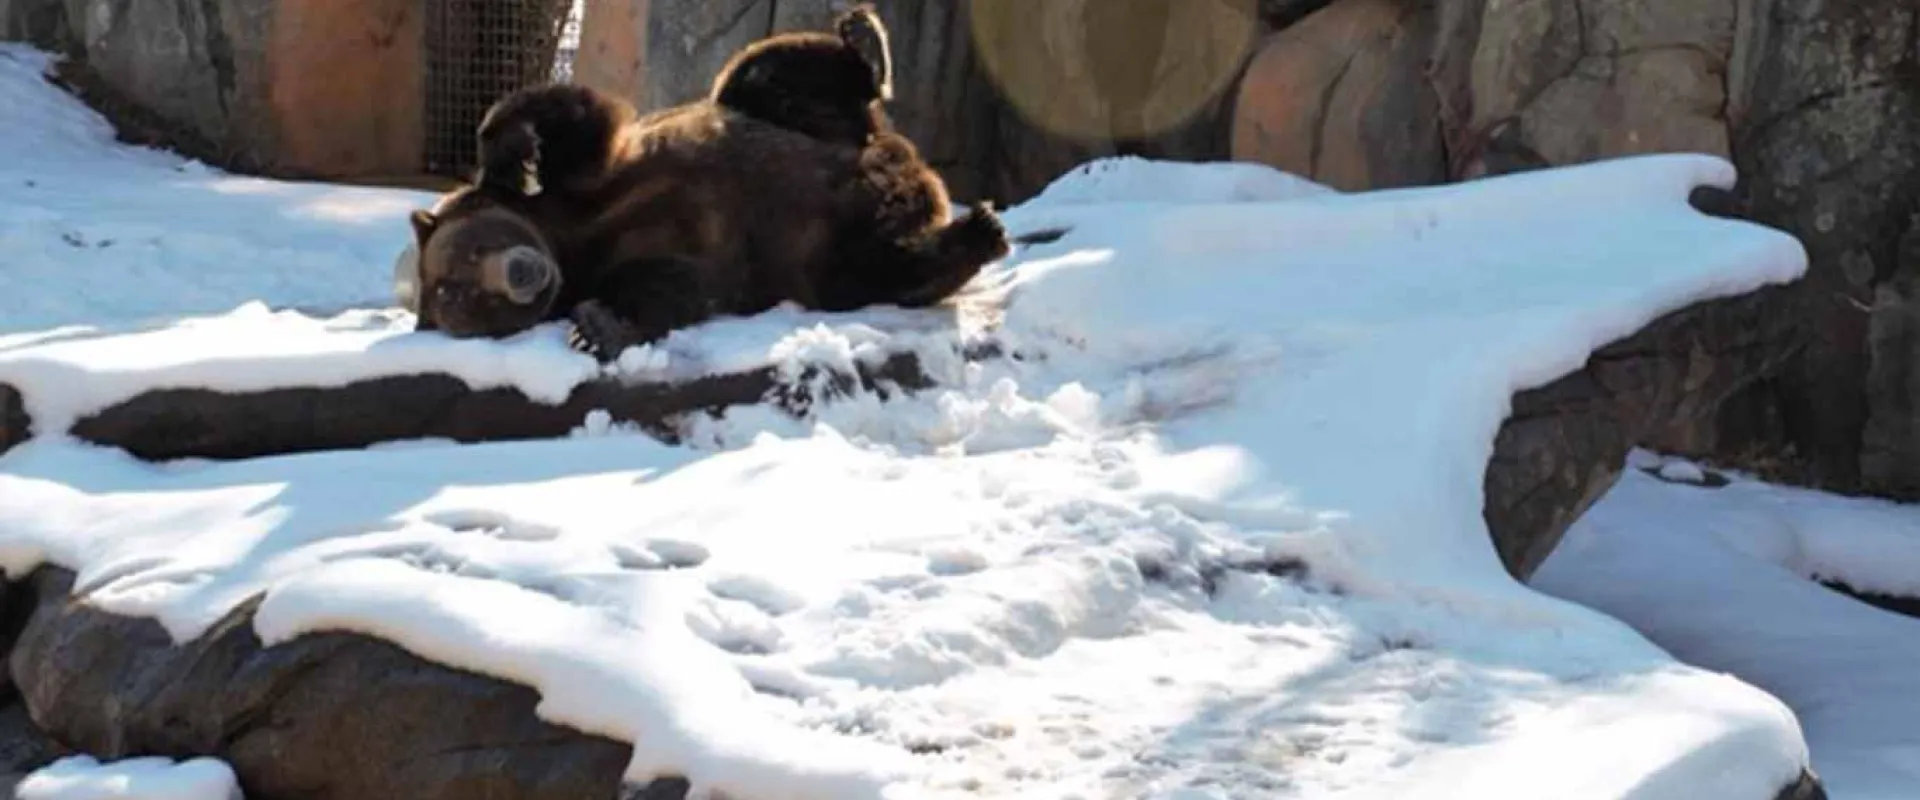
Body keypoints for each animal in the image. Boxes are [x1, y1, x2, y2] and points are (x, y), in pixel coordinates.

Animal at [407, 81, 1009, 362]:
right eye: (466, 298)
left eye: (470, 252)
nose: (521, 274)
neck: (565, 243)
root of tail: (920, 181)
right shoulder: (650, 257)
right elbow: (671, 288)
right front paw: (597, 328)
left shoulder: (591, 180)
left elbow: (575, 113)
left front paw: (510, 153)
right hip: (817, 254)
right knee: (868, 272)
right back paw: (975, 236)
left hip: (837, 147)